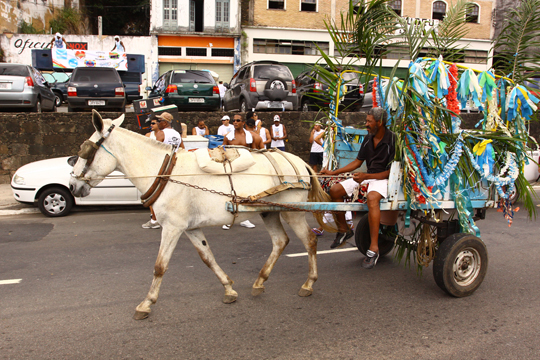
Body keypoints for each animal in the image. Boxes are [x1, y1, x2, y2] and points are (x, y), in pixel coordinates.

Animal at [69, 111, 332, 320]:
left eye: (86, 150)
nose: (72, 186)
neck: (165, 172)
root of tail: (299, 162)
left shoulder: (172, 228)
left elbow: (160, 266)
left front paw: (146, 303)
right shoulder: (190, 228)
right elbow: (208, 258)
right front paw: (228, 288)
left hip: (292, 212)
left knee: (309, 240)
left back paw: (309, 283)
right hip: (269, 211)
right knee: (280, 241)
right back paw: (260, 281)